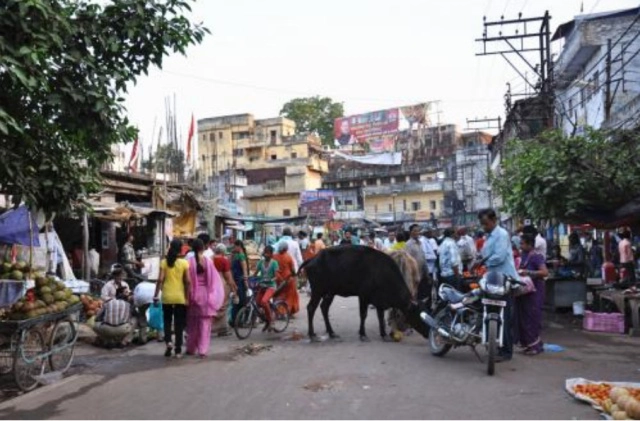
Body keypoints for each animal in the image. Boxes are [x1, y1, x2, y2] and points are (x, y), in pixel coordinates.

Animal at [298, 244, 430, 340]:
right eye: (419, 316)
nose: (428, 333)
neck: (382, 272)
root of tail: (313, 258)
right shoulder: (363, 296)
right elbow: (363, 314)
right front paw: (362, 334)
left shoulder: (379, 300)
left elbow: (380, 316)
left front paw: (383, 334)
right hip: (317, 290)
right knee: (311, 308)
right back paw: (311, 334)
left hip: (330, 293)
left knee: (324, 308)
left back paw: (331, 333)